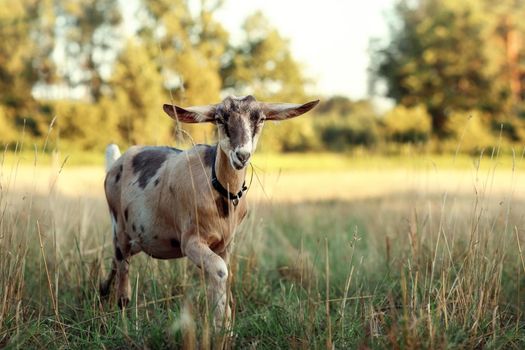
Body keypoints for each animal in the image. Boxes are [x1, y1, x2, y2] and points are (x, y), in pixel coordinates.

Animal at [100, 95, 318, 330]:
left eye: (260, 119)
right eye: (219, 119)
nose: (242, 155)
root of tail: (114, 163)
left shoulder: (225, 244)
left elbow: (225, 274)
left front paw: (226, 325)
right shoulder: (190, 241)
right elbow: (220, 271)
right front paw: (220, 328)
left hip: (135, 239)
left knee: (116, 261)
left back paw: (103, 291)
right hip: (120, 228)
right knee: (123, 273)